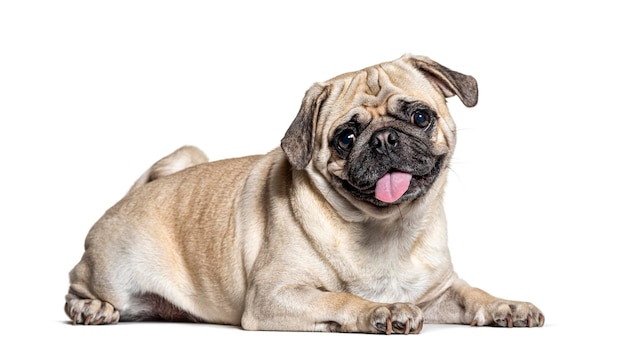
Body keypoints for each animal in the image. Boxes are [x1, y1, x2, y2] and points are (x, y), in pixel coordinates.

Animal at [64, 54, 540, 334]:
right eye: (346, 138)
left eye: (420, 117)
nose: (384, 139)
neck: (387, 229)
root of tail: (132, 195)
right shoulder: (275, 295)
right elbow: (340, 297)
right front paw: (379, 311)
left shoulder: (441, 291)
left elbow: (474, 295)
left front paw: (508, 305)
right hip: (112, 274)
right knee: (77, 285)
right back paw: (92, 309)